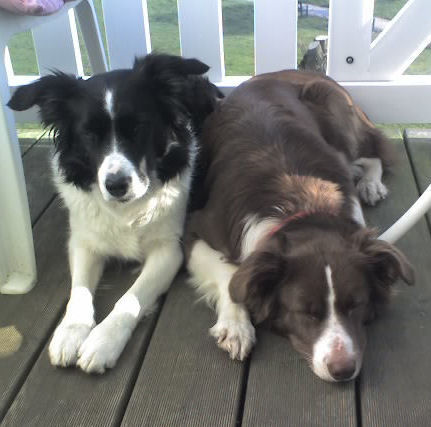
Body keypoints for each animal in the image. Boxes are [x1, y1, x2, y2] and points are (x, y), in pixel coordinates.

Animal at [8, 54, 221, 374]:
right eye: (88, 134)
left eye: (138, 127)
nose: (117, 185)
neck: (125, 210)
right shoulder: (83, 243)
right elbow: (79, 292)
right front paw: (70, 332)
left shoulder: (169, 250)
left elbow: (130, 298)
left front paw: (103, 341)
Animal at [186, 71, 416, 384]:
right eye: (307, 313)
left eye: (356, 305)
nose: (343, 371)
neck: (304, 212)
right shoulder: (195, 227)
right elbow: (231, 276)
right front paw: (236, 326)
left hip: (335, 112)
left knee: (372, 153)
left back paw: (370, 183)